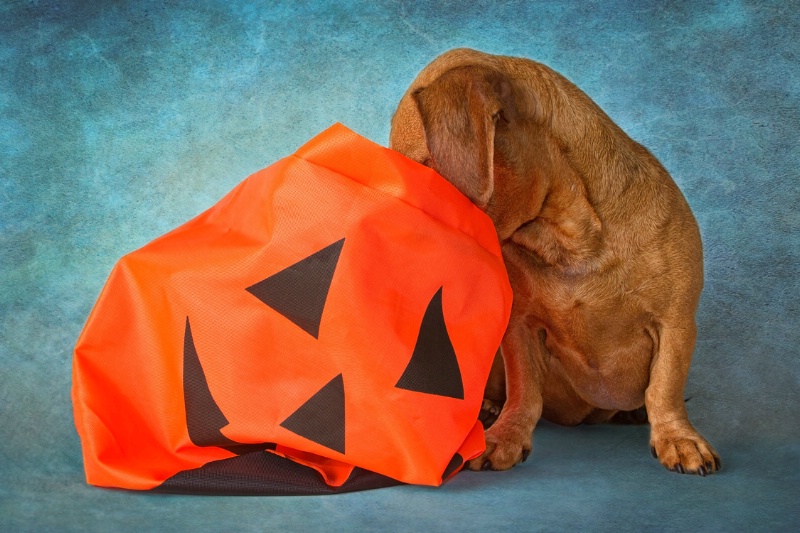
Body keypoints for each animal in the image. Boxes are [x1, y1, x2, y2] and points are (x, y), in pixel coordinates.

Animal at [390, 48, 720, 474]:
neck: (569, 241)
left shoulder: (674, 323)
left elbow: (664, 387)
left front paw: (677, 438)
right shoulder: (520, 329)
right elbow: (524, 391)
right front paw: (507, 436)